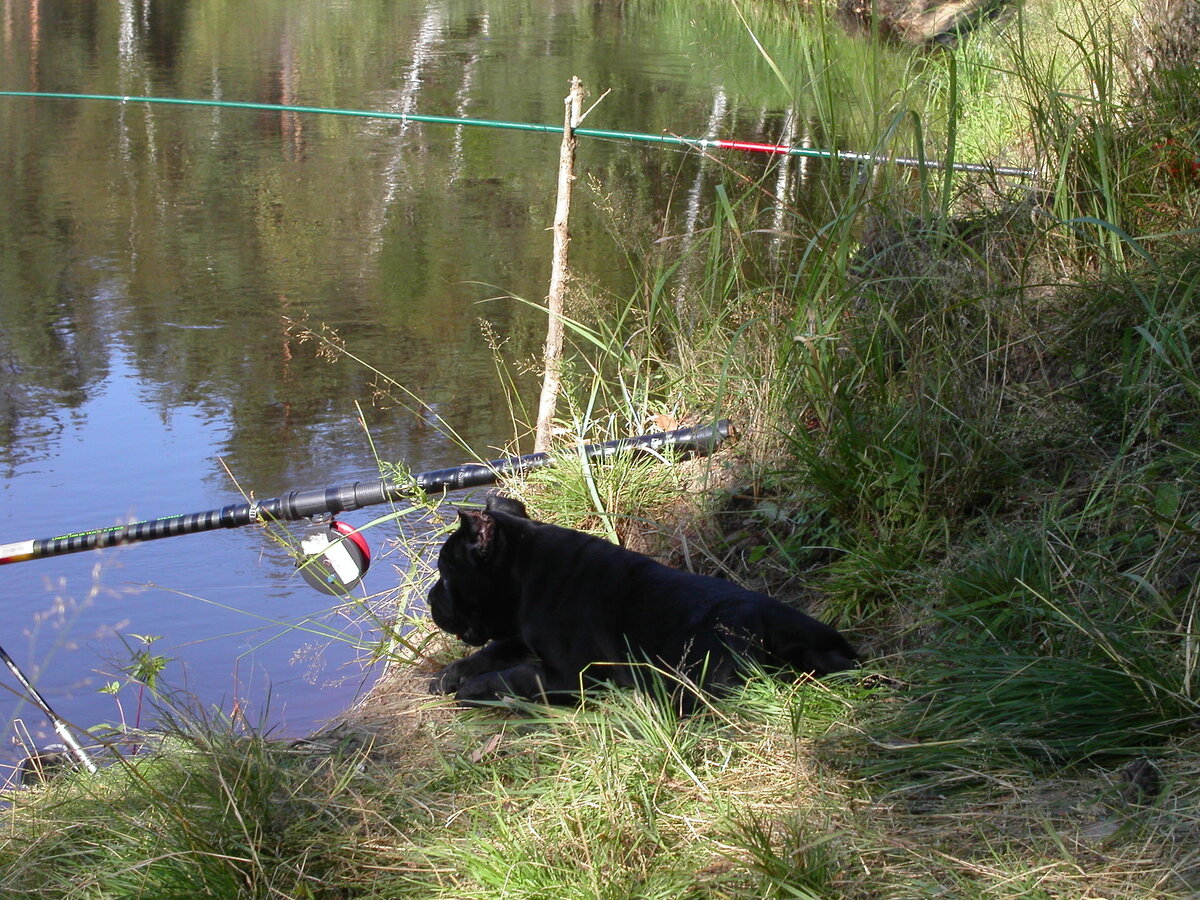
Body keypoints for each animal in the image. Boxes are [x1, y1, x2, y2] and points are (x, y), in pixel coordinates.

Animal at [427, 496, 859, 710]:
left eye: (446, 575)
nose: (431, 598)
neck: (526, 570)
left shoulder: (568, 675)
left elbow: (512, 676)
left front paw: (473, 688)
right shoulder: (521, 636)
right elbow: (493, 651)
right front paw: (451, 674)